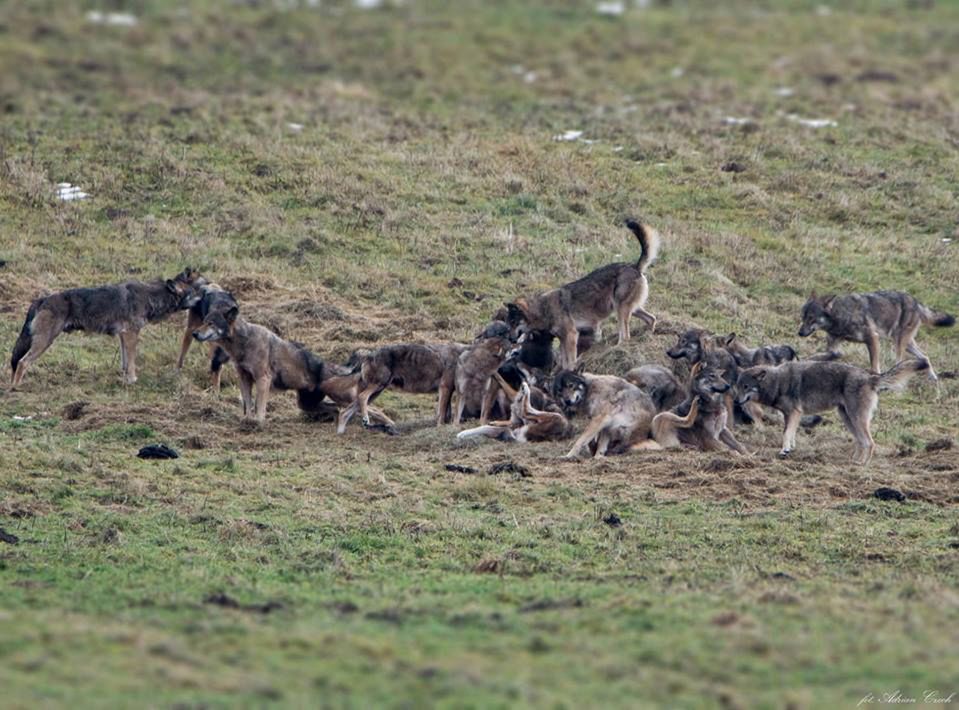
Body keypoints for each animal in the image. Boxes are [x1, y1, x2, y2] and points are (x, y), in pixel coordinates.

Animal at [9, 268, 204, 390]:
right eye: (199, 289)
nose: (206, 296)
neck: (152, 297)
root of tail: (41, 299)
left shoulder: (123, 336)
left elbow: (125, 362)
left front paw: (125, 379)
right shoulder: (131, 333)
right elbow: (132, 361)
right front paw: (132, 380)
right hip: (45, 342)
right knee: (22, 362)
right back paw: (16, 387)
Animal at [191, 304, 326, 422]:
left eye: (211, 323)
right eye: (204, 322)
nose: (194, 333)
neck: (245, 343)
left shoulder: (263, 379)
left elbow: (259, 406)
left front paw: (259, 423)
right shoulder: (244, 378)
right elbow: (248, 403)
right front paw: (248, 420)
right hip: (306, 402)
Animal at [502, 220, 660, 370]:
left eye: (514, 323)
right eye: (508, 324)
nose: (509, 339)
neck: (543, 309)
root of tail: (635, 267)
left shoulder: (571, 336)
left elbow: (570, 362)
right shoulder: (563, 340)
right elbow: (564, 362)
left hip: (621, 312)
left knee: (626, 336)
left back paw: (614, 350)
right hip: (631, 310)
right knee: (651, 319)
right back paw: (647, 336)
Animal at [736, 358, 928, 464]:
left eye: (746, 387)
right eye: (738, 387)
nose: (737, 401)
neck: (777, 382)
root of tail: (870, 376)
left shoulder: (794, 413)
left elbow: (785, 433)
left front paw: (784, 451)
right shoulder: (793, 415)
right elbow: (791, 434)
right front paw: (790, 449)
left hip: (856, 418)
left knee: (871, 443)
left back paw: (863, 464)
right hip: (847, 418)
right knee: (862, 442)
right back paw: (854, 461)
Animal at [800, 290, 956, 382]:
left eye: (811, 318)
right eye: (803, 317)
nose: (799, 333)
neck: (841, 315)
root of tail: (916, 302)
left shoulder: (872, 338)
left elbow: (874, 366)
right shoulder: (834, 349)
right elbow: (819, 356)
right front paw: (804, 361)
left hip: (899, 344)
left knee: (901, 361)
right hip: (906, 343)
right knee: (925, 357)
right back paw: (933, 379)